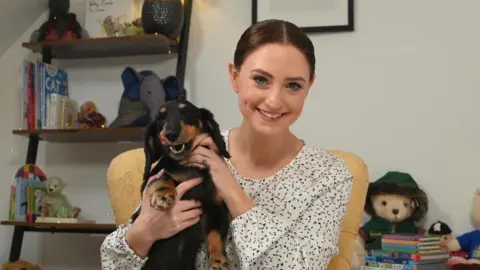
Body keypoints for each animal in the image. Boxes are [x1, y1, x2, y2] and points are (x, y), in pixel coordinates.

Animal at [130, 99, 232, 270]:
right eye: (160, 117)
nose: (170, 134)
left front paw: (219, 259)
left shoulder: (218, 208)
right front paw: (164, 194)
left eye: (187, 112)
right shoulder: (150, 180)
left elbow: (215, 234)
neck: (188, 168)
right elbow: (163, 177)